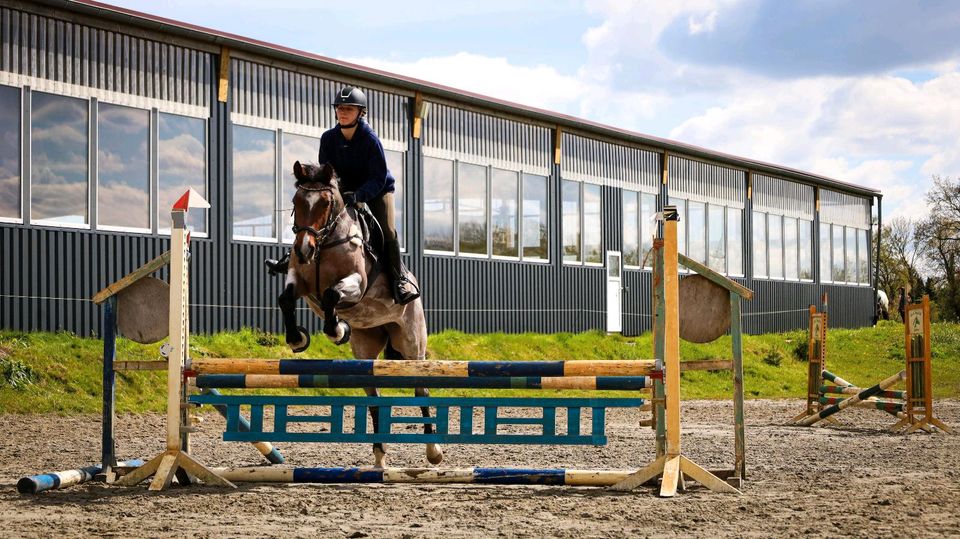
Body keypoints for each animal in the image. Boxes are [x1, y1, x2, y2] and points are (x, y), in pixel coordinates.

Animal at [278, 160, 442, 468]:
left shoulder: (356, 283)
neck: (325, 243)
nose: (304, 249)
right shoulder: (298, 280)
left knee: (421, 390)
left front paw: (338, 330)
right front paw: (297, 338)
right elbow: (285, 299)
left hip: (412, 345)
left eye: (325, 202)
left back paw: (434, 451)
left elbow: (331, 295)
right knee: (374, 397)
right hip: (367, 346)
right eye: (296, 201)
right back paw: (379, 457)